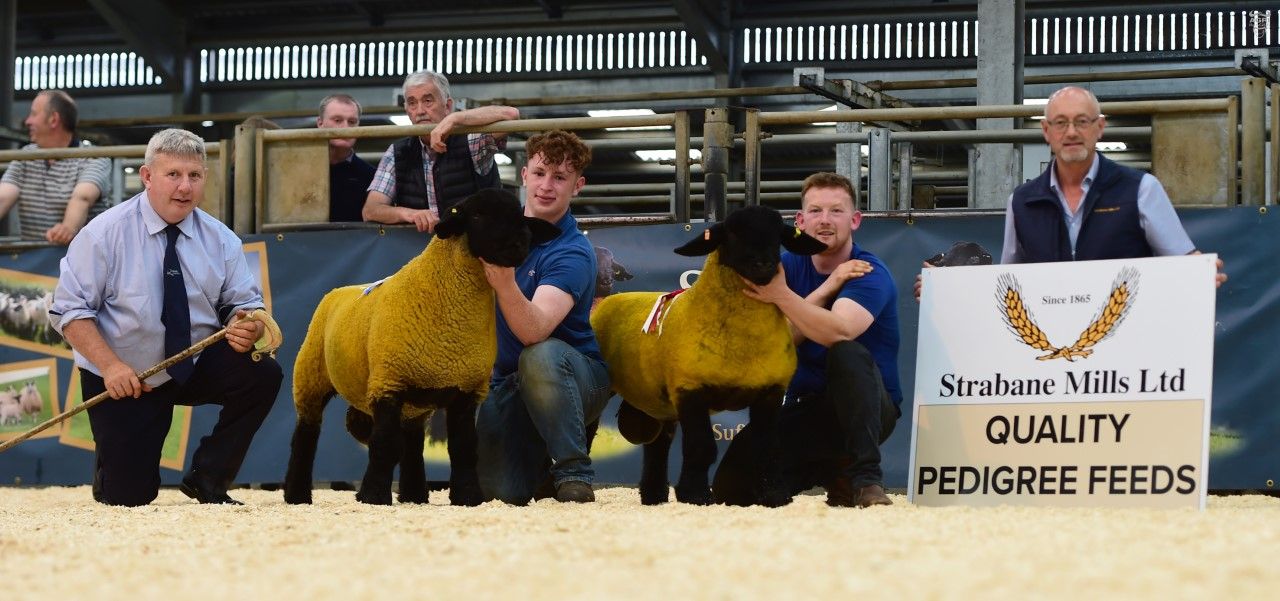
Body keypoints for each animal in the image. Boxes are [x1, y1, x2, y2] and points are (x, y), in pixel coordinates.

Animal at [284, 189, 560, 506]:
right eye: (478, 214)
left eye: (520, 215)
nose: (521, 242)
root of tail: (339, 290)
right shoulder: (388, 383)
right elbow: (385, 445)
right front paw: (373, 496)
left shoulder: (466, 391)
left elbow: (464, 448)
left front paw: (468, 497)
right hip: (311, 376)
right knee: (306, 434)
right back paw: (296, 494)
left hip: (414, 398)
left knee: (413, 442)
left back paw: (414, 495)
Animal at [590, 205, 827, 506]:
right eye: (732, 233)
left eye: (778, 235)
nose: (763, 265)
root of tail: (608, 302)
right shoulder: (690, 391)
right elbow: (701, 447)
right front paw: (696, 494)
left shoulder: (771, 393)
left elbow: (767, 446)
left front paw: (774, 494)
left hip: (660, 404)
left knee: (657, 446)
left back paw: (654, 495)